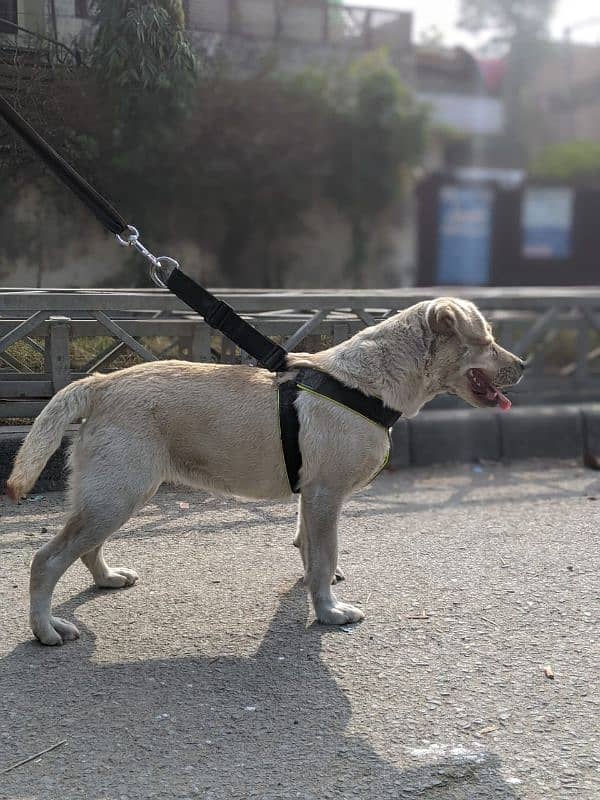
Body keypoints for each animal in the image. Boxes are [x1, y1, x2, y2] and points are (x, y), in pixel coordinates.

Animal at [7, 296, 524, 648]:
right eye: (487, 340)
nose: (523, 365)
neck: (368, 383)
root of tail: (99, 382)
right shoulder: (326, 494)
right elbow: (325, 555)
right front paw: (329, 612)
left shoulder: (310, 497)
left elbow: (308, 549)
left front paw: (315, 591)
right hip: (117, 494)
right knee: (45, 560)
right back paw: (46, 629)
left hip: (113, 495)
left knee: (85, 549)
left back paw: (107, 578)